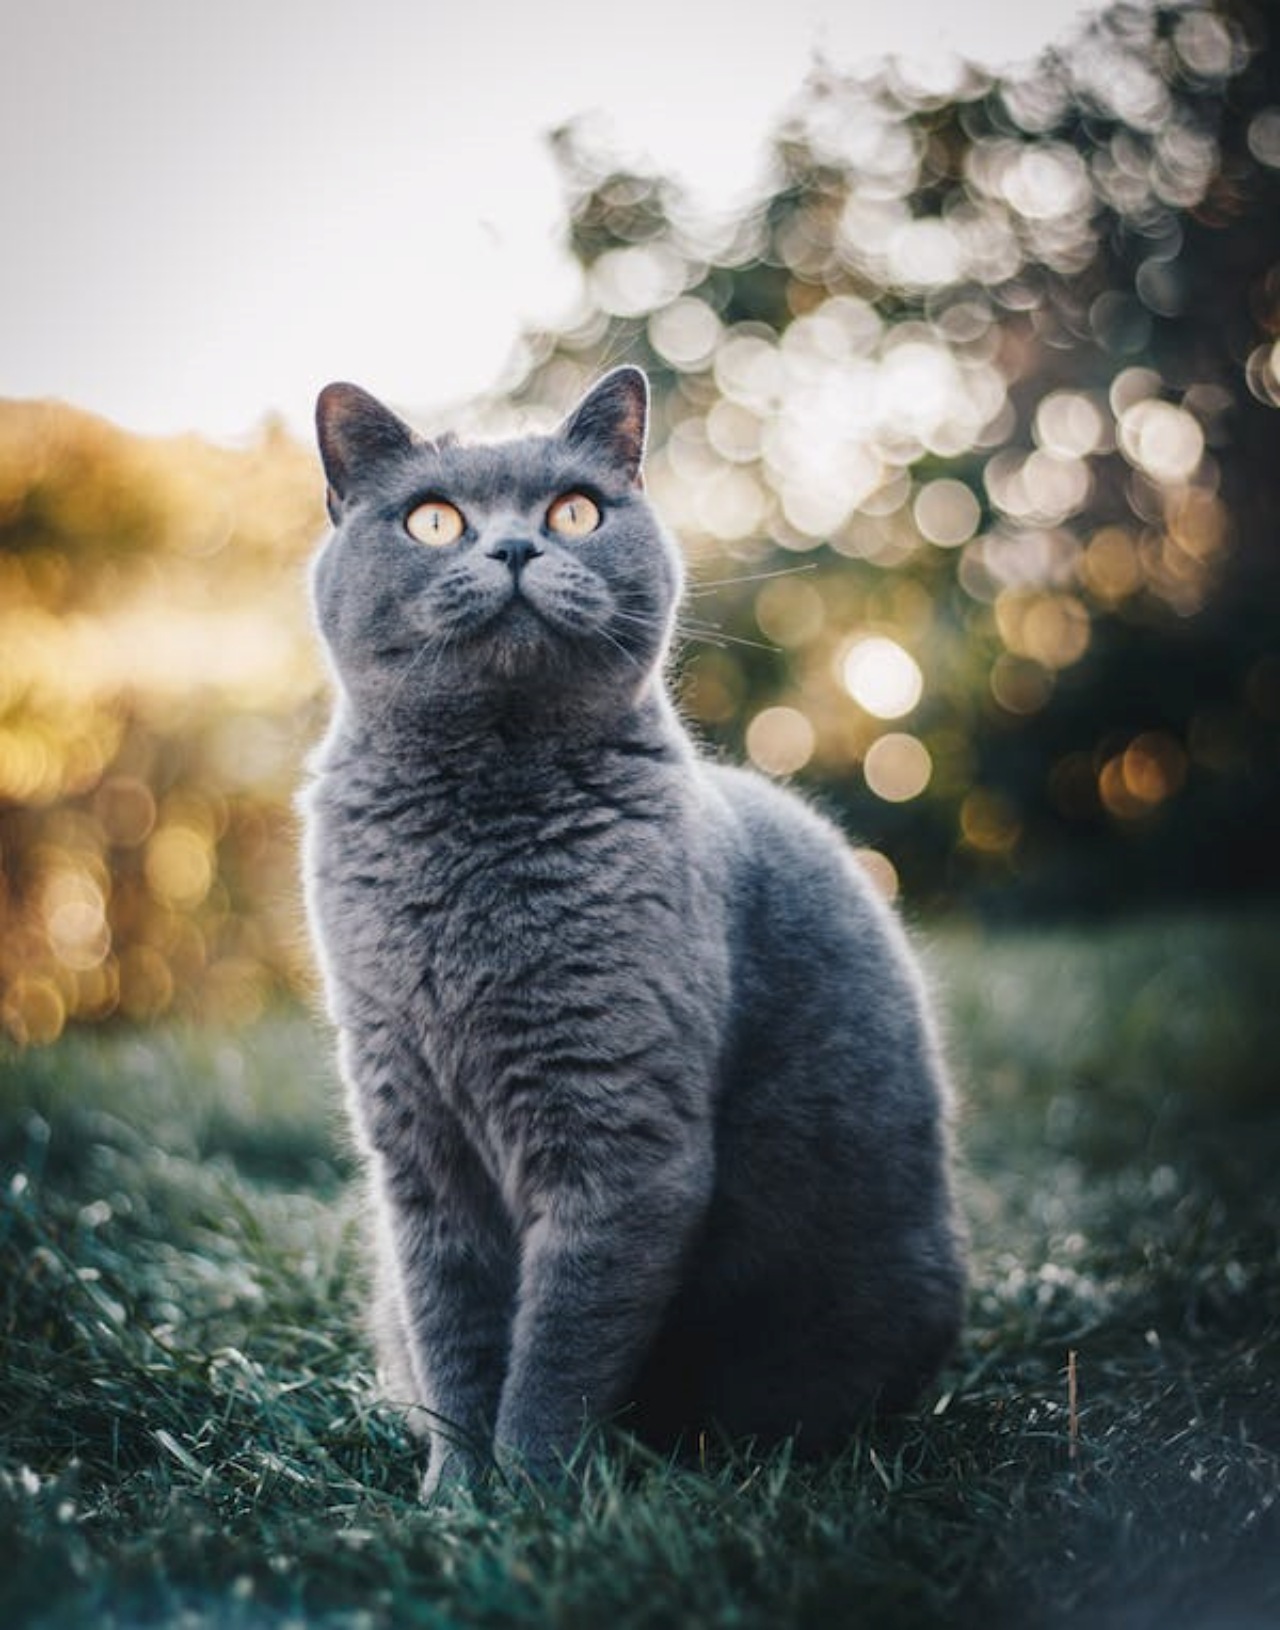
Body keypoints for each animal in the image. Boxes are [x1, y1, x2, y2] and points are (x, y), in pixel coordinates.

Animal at [296, 366, 958, 1493]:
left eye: (574, 511)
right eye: (432, 520)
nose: (516, 548)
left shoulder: (618, 1136)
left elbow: (559, 1347)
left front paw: (524, 1497)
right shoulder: (414, 1144)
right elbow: (453, 1329)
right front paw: (452, 1495)